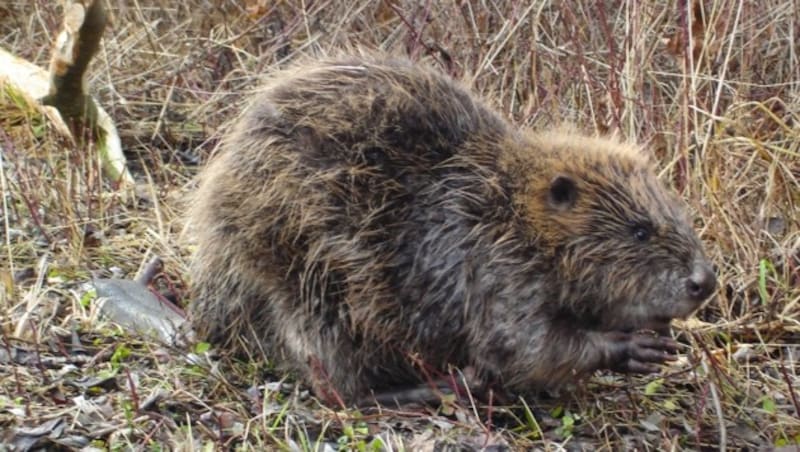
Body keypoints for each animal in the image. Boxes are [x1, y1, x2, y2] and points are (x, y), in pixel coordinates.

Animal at [186, 53, 712, 406]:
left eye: (678, 215)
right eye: (639, 231)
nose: (704, 282)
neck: (507, 209)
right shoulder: (495, 270)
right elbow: (523, 347)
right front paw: (634, 346)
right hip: (303, 280)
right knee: (336, 386)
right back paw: (440, 387)